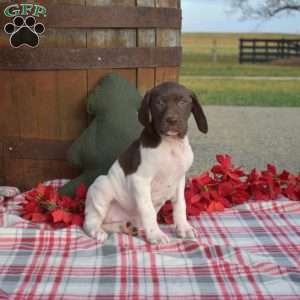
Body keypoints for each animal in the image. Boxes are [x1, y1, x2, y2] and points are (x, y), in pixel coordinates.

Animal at [83, 81, 207, 244]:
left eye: (183, 102)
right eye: (159, 103)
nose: (172, 120)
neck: (170, 145)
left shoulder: (180, 179)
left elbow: (181, 205)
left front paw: (184, 228)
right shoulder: (140, 180)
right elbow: (148, 210)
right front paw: (156, 235)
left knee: (108, 224)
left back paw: (124, 227)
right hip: (101, 185)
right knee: (91, 220)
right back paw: (97, 231)